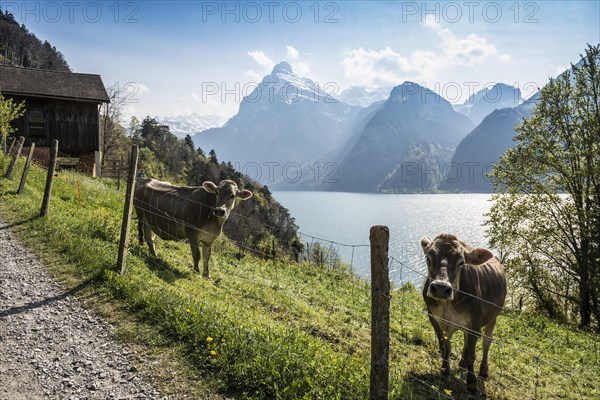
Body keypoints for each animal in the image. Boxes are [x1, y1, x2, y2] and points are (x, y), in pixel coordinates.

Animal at [422, 234, 506, 394]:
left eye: (461, 262)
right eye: (428, 258)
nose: (441, 288)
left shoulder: (475, 322)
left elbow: (473, 354)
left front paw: (472, 383)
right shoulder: (433, 317)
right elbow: (445, 347)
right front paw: (445, 373)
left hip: (493, 317)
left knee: (487, 341)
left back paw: (483, 371)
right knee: (466, 340)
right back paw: (462, 361)